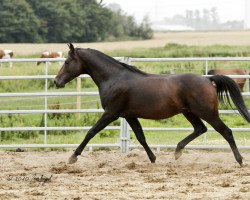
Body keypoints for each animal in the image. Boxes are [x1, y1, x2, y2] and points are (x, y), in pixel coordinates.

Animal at [54, 43, 250, 166]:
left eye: (67, 62)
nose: (56, 81)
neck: (114, 78)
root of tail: (208, 80)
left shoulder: (111, 113)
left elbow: (91, 132)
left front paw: (73, 157)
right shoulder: (129, 115)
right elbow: (141, 137)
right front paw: (153, 158)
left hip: (207, 112)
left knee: (226, 131)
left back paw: (239, 160)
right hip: (189, 112)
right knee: (200, 129)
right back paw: (177, 151)